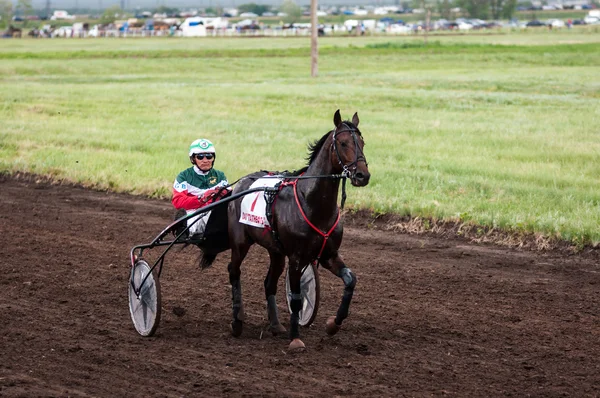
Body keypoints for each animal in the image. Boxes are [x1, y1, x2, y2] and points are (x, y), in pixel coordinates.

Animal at [226, 110, 370, 350]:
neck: (311, 202)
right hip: (240, 243)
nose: (362, 175)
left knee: (269, 283)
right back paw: (237, 321)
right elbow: (295, 297)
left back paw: (276, 325)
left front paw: (333, 324)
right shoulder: (296, 257)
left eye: (362, 142)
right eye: (343, 143)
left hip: (275, 251)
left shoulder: (328, 255)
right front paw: (295, 338)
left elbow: (351, 279)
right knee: (234, 271)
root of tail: (241, 183)